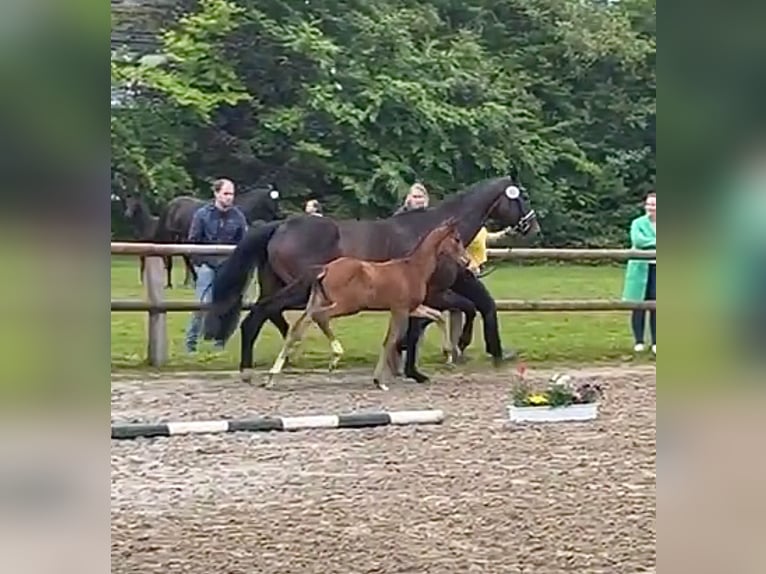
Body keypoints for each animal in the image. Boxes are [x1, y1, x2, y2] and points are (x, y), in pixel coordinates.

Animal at [156, 187, 284, 290]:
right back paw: (172, 284)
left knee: (186, 257)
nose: (279, 214)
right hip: (173, 239)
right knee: (172, 258)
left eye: (277, 200)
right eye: (270, 200)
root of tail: (171, 205)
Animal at [270, 220, 474, 392]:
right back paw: (335, 357)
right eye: (457, 239)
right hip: (347, 305)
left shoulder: (413, 308)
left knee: (298, 328)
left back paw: (272, 377)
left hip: (317, 301)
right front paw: (379, 382)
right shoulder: (400, 310)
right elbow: (390, 341)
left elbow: (437, 317)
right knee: (320, 317)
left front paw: (448, 354)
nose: (467, 261)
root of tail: (325, 269)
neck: (413, 269)